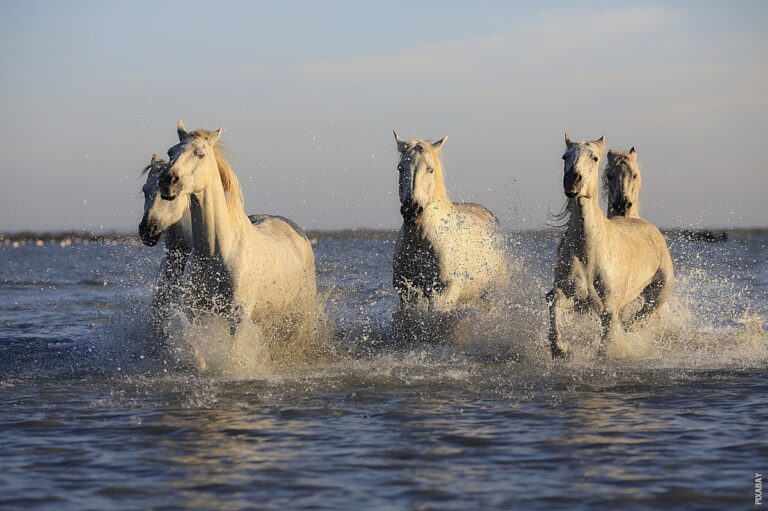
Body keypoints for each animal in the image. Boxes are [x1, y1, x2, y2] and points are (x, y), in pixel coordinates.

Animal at [159, 121, 318, 340]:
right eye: (170, 152)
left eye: (200, 154)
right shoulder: (197, 314)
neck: (216, 252)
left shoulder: (238, 318)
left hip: (303, 311)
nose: (167, 181)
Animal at [392, 132, 508, 316]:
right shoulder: (407, 292)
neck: (421, 240)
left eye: (430, 169)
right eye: (400, 168)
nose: (412, 210)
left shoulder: (444, 291)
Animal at [544, 135, 672, 360]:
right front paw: (560, 348)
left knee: (642, 316)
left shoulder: (609, 308)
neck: (588, 252)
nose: (572, 180)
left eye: (594, 158)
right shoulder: (573, 296)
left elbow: (606, 340)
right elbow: (554, 300)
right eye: (565, 156)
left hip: (658, 294)